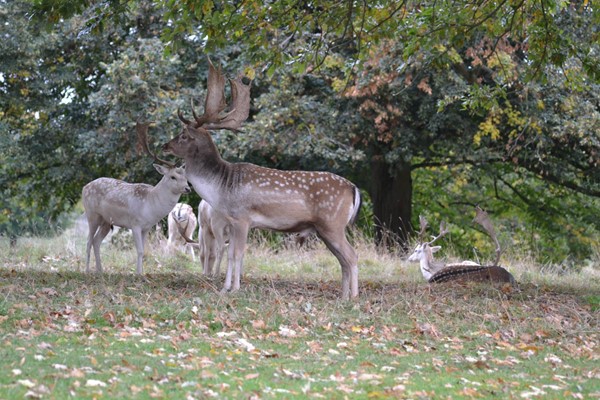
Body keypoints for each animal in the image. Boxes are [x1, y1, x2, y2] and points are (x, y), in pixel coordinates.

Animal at [144, 57, 364, 298]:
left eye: (183, 135)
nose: (165, 145)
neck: (221, 186)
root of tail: (354, 188)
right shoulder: (232, 222)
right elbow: (232, 254)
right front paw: (226, 287)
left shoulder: (242, 218)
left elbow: (236, 254)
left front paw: (233, 288)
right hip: (326, 229)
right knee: (343, 259)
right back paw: (343, 296)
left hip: (332, 223)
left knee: (352, 256)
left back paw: (353, 297)